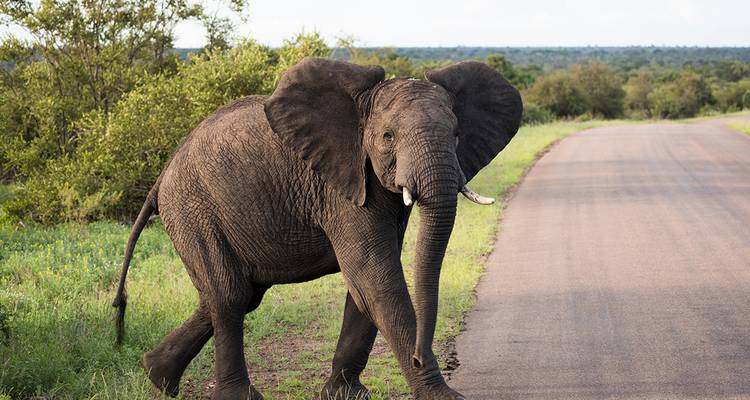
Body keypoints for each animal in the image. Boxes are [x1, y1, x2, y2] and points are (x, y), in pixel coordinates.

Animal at [112, 57, 522, 400]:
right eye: (388, 137)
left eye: (456, 135)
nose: (422, 358)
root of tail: (162, 176)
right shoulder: (341, 186)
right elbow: (375, 278)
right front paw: (443, 396)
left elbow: (363, 286)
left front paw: (346, 395)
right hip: (194, 208)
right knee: (229, 296)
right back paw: (233, 396)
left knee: (235, 294)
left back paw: (156, 376)